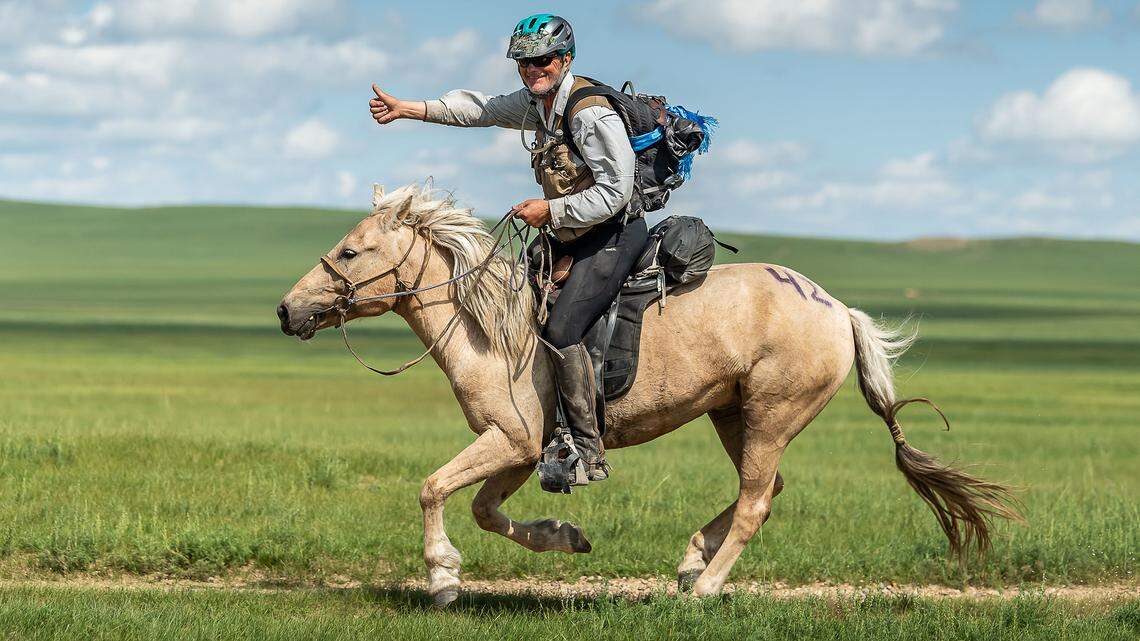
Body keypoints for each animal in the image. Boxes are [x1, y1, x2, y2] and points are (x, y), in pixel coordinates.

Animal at [277, 183, 1021, 606]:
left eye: (350, 252)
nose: (287, 311)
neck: (491, 327)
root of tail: (840, 312)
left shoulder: (509, 440)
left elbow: (432, 488)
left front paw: (442, 579)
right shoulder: (522, 450)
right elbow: (487, 511)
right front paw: (567, 536)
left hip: (770, 415)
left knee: (756, 501)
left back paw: (704, 590)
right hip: (734, 414)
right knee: (765, 492)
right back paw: (692, 560)